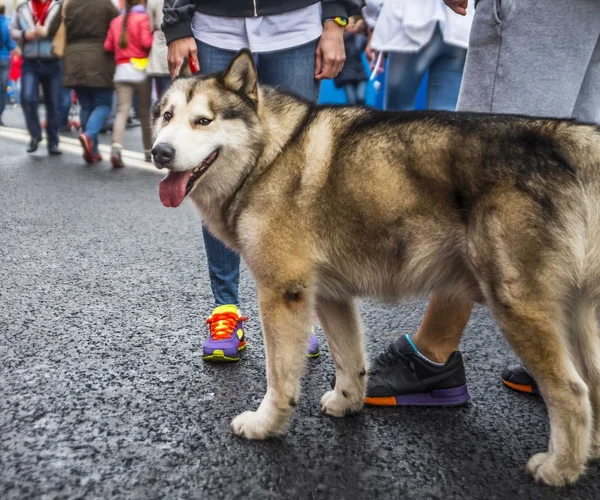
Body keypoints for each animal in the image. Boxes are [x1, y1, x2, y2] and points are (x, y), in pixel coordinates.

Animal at [151, 49, 600, 484]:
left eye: (204, 121)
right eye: (167, 116)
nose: (159, 152)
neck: (270, 155)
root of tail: (567, 138)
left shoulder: (283, 293)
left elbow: (279, 378)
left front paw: (266, 426)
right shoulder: (330, 296)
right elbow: (349, 360)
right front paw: (348, 403)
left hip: (517, 307)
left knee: (572, 392)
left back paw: (560, 468)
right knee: (593, 384)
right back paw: (587, 454)